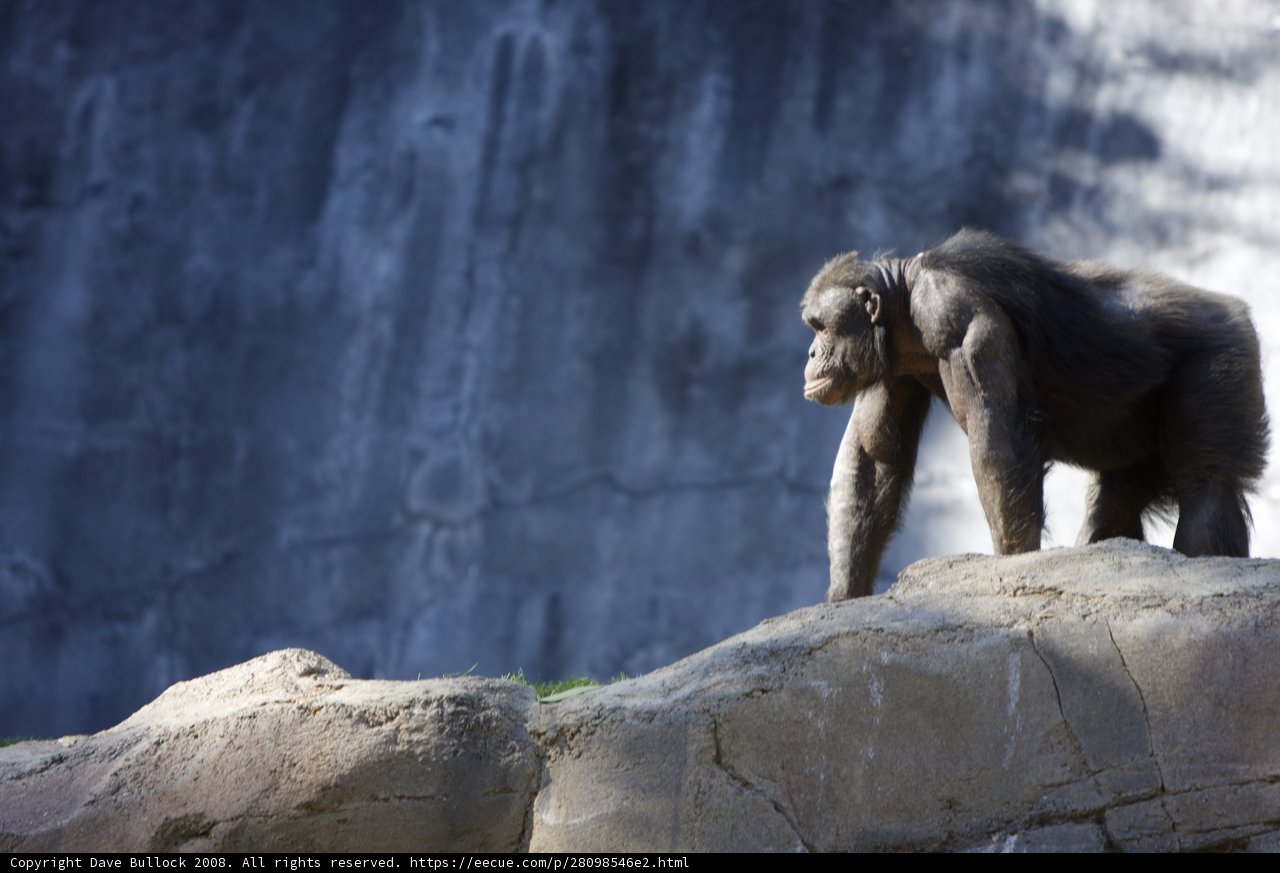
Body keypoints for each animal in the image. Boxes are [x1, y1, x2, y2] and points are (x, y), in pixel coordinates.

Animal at [801, 228, 1269, 601]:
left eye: (820, 326)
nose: (810, 352)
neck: (906, 302)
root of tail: (1234, 308)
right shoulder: (889, 367)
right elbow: (874, 457)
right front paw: (844, 596)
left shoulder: (957, 316)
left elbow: (996, 438)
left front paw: (1012, 566)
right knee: (1113, 509)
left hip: (1220, 365)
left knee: (1207, 489)